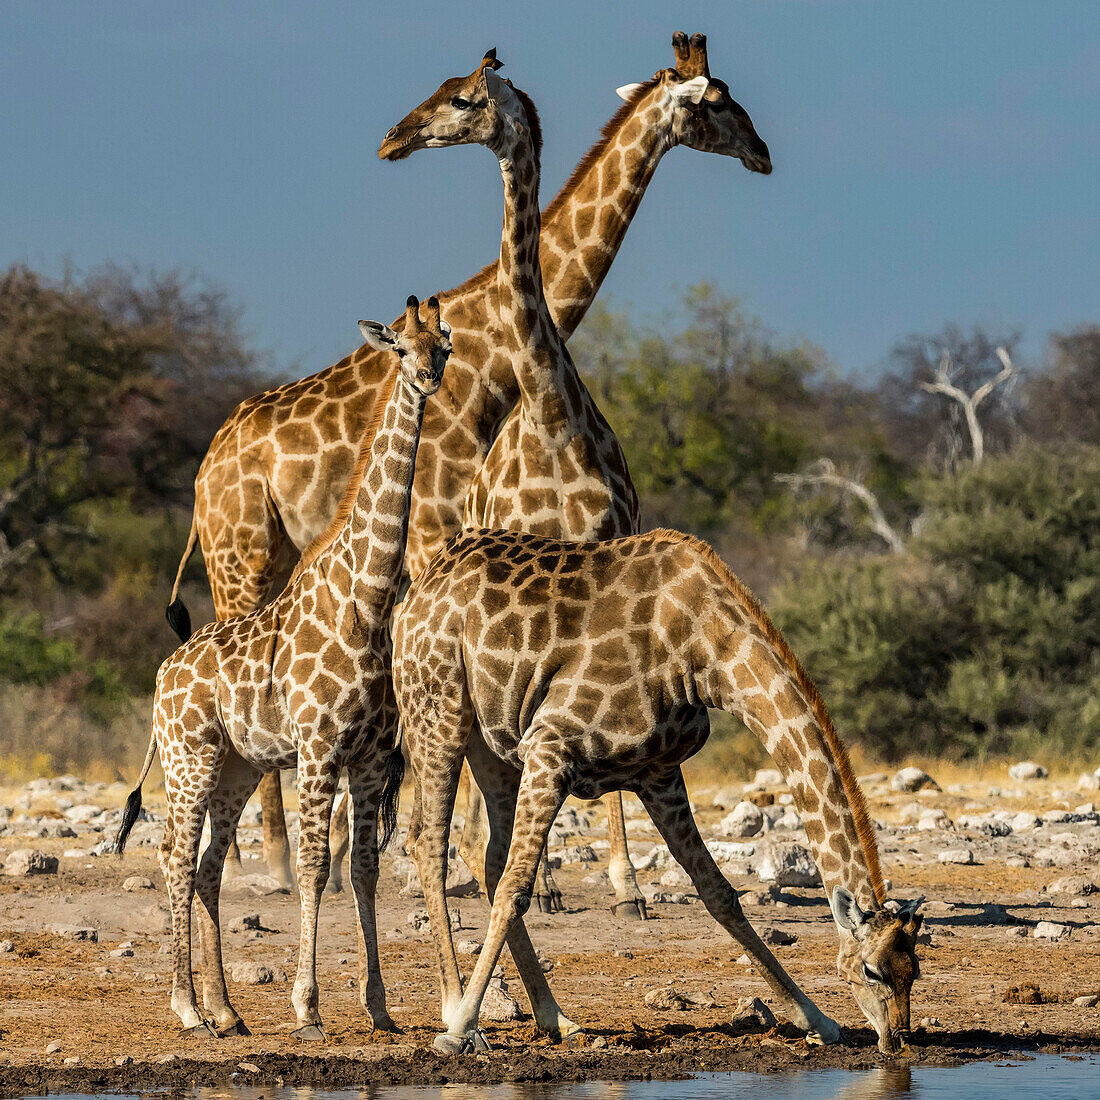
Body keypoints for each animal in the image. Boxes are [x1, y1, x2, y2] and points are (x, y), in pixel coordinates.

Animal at [114, 299, 451, 1038]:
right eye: (398, 345)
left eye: (442, 344)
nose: (428, 378)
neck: (368, 600)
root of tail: (161, 677)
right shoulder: (320, 746)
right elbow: (316, 864)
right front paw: (309, 1007)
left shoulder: (371, 756)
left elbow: (364, 869)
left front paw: (379, 1008)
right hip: (189, 759)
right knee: (174, 856)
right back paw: (186, 1008)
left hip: (236, 767)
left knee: (208, 867)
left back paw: (226, 1010)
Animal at [165, 30, 774, 888]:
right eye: (718, 103)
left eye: (461, 95)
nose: (762, 152)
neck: (495, 354)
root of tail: (205, 469)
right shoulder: (435, 533)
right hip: (240, 555)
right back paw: (283, 863)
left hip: (272, 556)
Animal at [391, 530, 924, 1056]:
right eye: (871, 970)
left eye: (914, 970)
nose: (896, 1039)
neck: (706, 654)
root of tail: (416, 592)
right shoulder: (550, 744)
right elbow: (516, 888)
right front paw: (459, 1031)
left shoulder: (658, 773)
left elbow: (719, 893)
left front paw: (819, 1020)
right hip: (438, 710)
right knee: (430, 841)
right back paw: (457, 1011)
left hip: (493, 743)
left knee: (487, 854)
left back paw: (556, 1018)